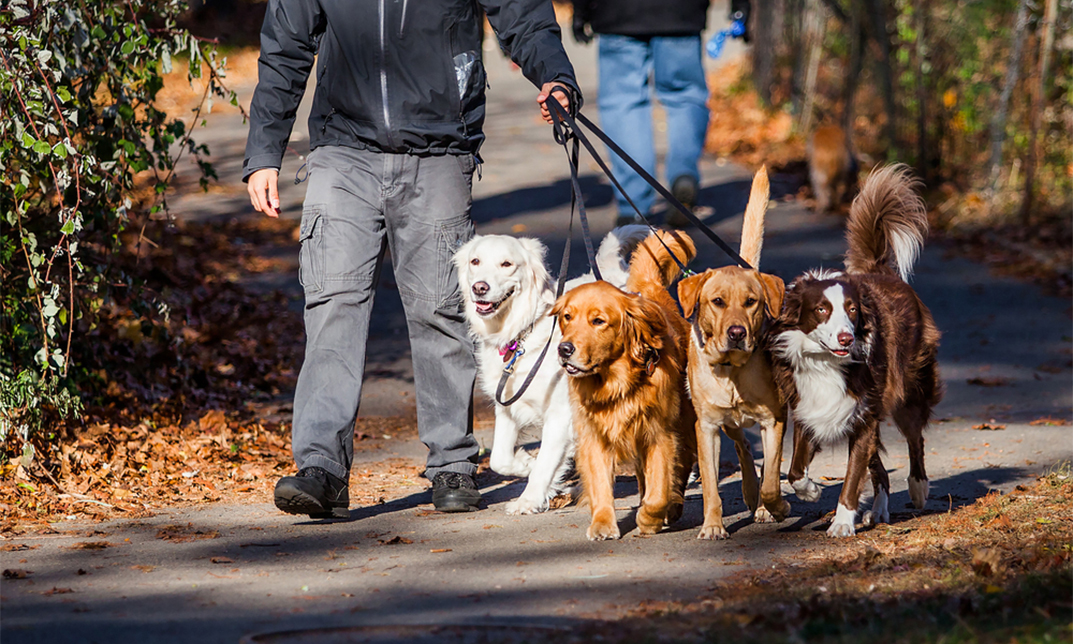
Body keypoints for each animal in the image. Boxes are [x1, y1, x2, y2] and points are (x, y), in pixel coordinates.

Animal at [452, 226, 643, 513]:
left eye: (506, 264)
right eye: (475, 261)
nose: (480, 288)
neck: (522, 332)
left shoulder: (561, 414)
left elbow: (545, 463)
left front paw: (528, 499)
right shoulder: (507, 406)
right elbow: (500, 459)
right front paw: (526, 464)